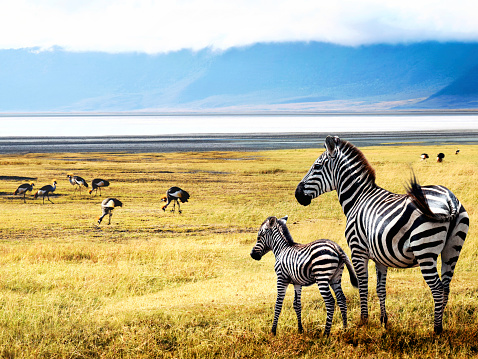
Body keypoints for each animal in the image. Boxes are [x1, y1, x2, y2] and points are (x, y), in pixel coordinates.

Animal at [294, 136, 468, 334]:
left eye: (317, 166)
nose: (297, 194)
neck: (357, 199)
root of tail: (449, 199)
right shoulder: (381, 256)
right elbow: (380, 288)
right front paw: (383, 321)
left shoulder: (357, 250)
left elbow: (363, 286)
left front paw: (363, 320)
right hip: (452, 250)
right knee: (446, 287)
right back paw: (442, 324)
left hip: (425, 251)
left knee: (438, 289)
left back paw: (436, 329)